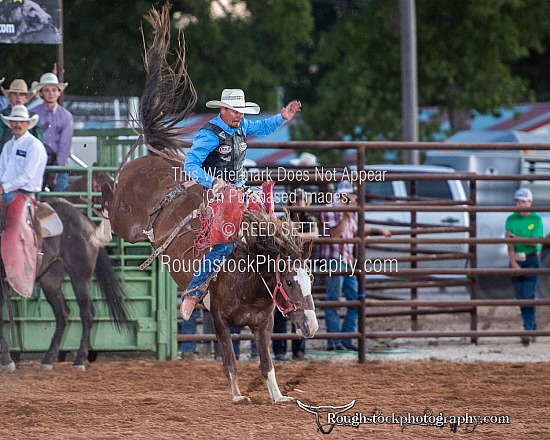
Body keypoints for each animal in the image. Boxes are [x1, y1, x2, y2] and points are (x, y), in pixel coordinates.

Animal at [0, 198, 129, 372]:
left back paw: (79, 360)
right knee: (62, 314)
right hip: (50, 281)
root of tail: (86, 221)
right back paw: (48, 359)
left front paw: (7, 361)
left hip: (80, 277)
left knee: (87, 313)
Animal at [102, 3, 320, 402]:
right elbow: (230, 358)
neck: (248, 275)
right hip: (129, 219)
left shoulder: (263, 324)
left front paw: (278, 395)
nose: (311, 325)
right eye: (289, 281)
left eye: (310, 280)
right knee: (112, 216)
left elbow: (266, 362)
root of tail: (154, 158)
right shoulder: (218, 319)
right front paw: (237, 394)